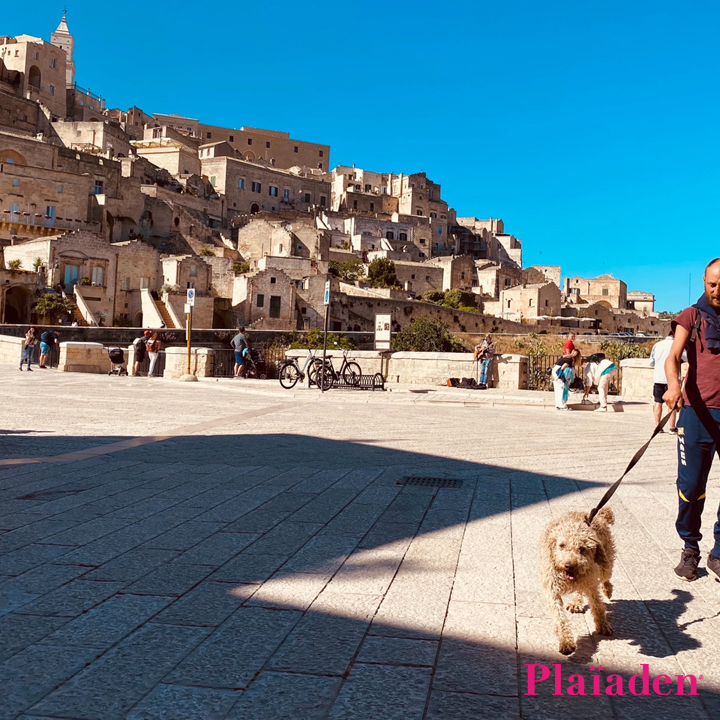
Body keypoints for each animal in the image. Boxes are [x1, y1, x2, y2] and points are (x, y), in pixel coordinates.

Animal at [540, 504, 612, 656]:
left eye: (582, 548)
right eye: (561, 545)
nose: (569, 565)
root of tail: (598, 515)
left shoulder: (591, 584)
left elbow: (597, 606)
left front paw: (603, 625)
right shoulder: (552, 591)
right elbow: (560, 618)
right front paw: (566, 642)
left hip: (605, 563)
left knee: (606, 577)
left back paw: (607, 589)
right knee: (579, 591)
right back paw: (576, 603)